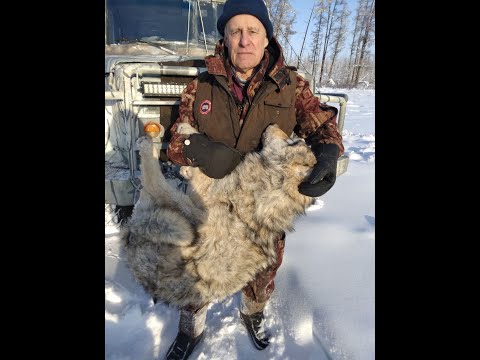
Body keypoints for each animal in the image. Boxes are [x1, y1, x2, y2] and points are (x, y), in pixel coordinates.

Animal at [123, 124, 318, 310]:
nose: (273, 124)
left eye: (293, 142)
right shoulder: (204, 191)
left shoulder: (199, 204)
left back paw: (148, 146)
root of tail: (131, 236)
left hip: (176, 218)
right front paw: (188, 134)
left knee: (153, 183)